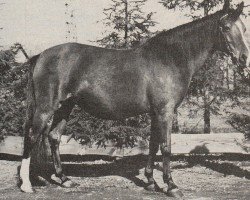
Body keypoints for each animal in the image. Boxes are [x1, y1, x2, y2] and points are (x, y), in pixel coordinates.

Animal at [20, 1, 250, 198]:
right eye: (226, 27)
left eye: (244, 28)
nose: (244, 58)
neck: (171, 57)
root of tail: (40, 56)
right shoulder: (165, 111)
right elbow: (166, 147)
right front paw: (171, 186)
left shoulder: (156, 113)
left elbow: (153, 144)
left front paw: (150, 182)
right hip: (46, 107)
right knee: (32, 136)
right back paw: (26, 185)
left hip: (66, 106)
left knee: (54, 137)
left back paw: (64, 179)